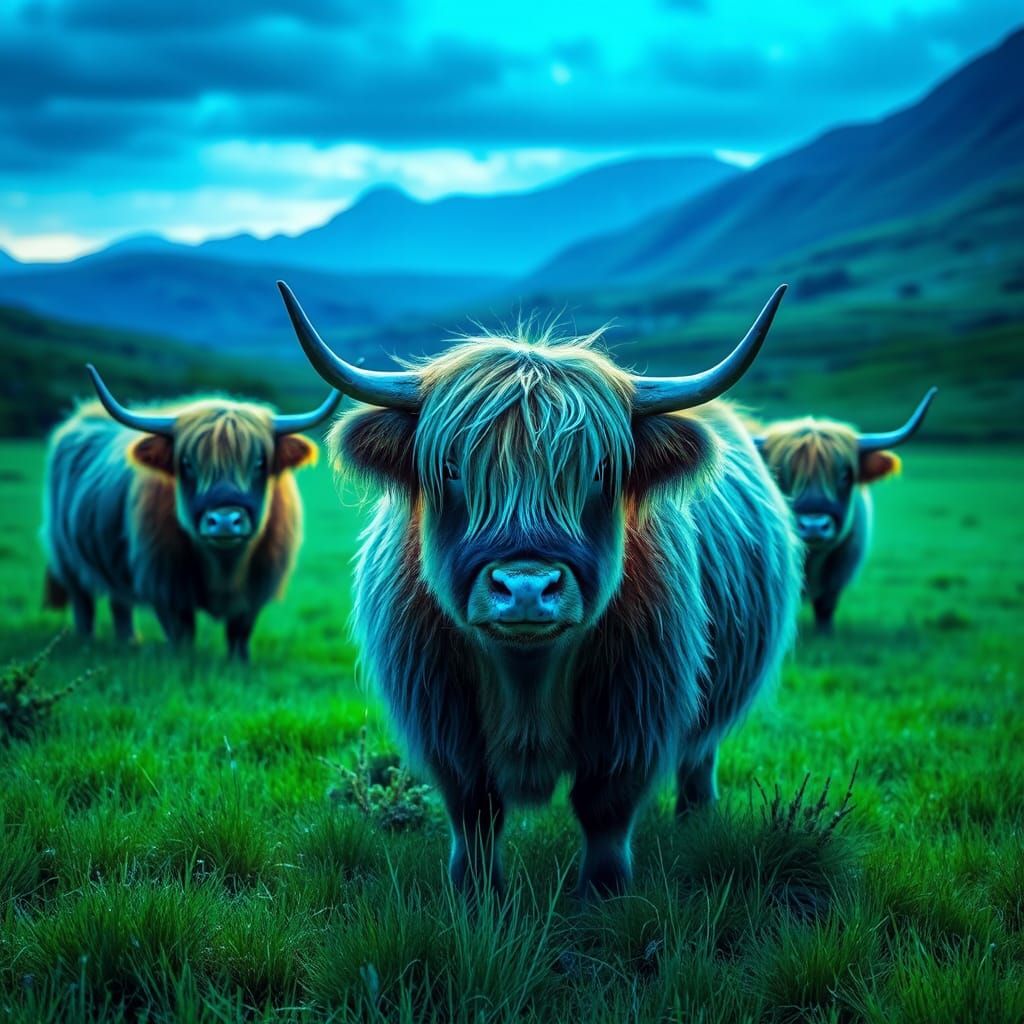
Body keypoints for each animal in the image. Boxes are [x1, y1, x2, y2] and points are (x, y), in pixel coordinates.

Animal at [42, 372, 341, 660]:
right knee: (84, 603)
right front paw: (183, 663)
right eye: (187, 464)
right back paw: (86, 643)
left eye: (259, 463)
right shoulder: (166, 586)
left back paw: (129, 643)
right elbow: (182, 634)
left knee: (120, 602)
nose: (224, 521)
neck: (224, 567)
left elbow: (239, 633)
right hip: (66, 556)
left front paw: (239, 663)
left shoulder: (256, 589)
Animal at [277, 279, 801, 897]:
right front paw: (477, 895)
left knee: (698, 757)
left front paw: (601, 896)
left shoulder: (635, 711)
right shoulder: (443, 719)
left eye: (599, 470)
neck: (526, 676)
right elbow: (475, 811)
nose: (526, 587)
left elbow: (604, 808)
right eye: (452, 468)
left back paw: (696, 823)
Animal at [753, 388, 937, 633]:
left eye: (844, 476)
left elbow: (826, 608)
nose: (814, 526)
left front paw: (825, 633)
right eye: (780, 475)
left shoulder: (837, 576)